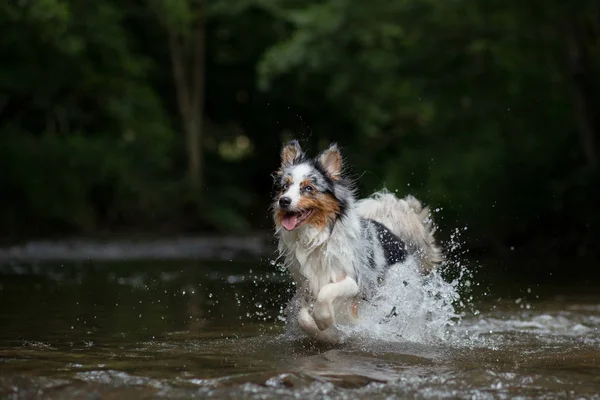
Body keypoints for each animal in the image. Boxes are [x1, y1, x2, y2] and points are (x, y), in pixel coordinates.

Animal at [272, 141, 440, 340]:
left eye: (308, 188)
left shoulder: (356, 281)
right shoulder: (305, 287)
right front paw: (325, 332)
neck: (317, 238)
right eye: (285, 187)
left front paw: (324, 321)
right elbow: (303, 317)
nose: (283, 201)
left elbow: (326, 293)